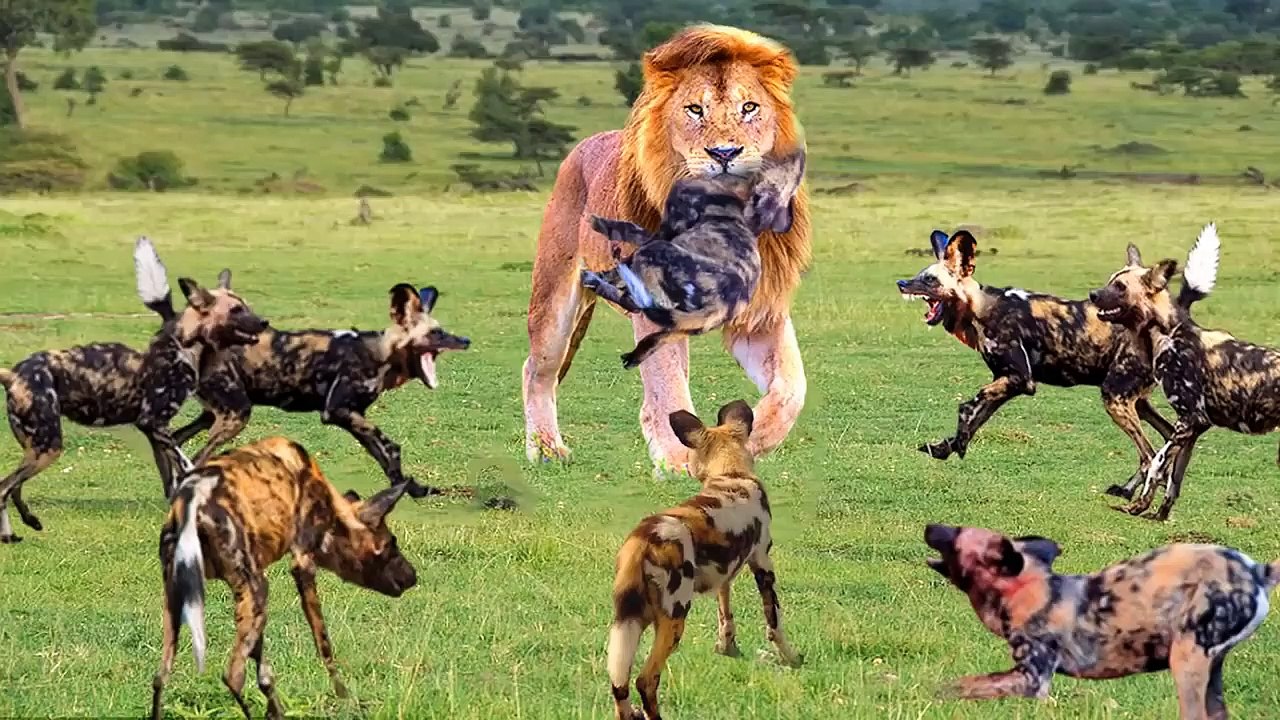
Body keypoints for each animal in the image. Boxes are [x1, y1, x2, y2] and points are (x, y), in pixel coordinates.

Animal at [522, 24, 811, 471]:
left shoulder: (761, 312)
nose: (724, 152)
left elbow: (792, 389)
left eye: (749, 108)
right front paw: (677, 462)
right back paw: (548, 448)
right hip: (554, 297)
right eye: (694, 110)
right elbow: (667, 384)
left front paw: (748, 439)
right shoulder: (654, 308)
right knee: (537, 368)